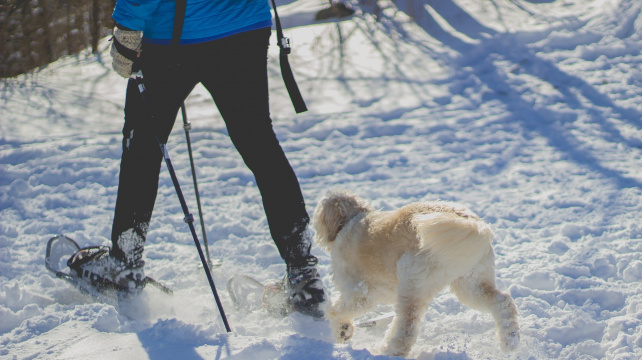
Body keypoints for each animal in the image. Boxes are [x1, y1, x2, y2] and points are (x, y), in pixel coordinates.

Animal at [312, 190, 520, 356]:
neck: (351, 220)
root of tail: (473, 224)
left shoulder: (360, 293)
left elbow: (335, 310)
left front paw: (341, 329)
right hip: (470, 284)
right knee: (502, 302)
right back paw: (510, 341)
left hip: (412, 284)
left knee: (406, 329)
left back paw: (387, 351)